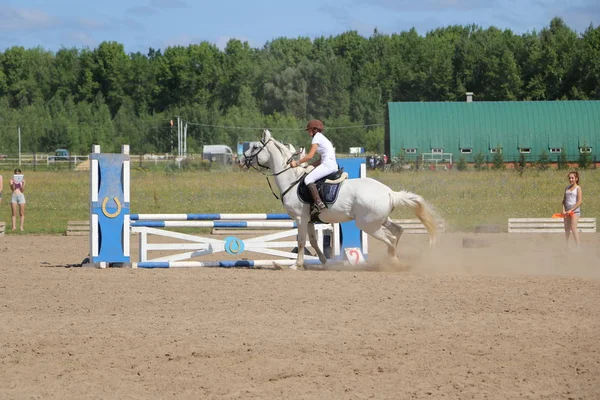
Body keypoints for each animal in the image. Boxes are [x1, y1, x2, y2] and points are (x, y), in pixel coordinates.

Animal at [240, 130, 440, 270]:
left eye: (255, 147)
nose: (241, 161)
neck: (291, 179)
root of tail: (390, 192)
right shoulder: (310, 220)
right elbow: (313, 242)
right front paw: (324, 262)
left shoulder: (300, 219)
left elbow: (301, 241)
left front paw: (295, 265)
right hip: (380, 220)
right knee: (398, 231)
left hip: (368, 225)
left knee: (390, 239)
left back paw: (393, 263)